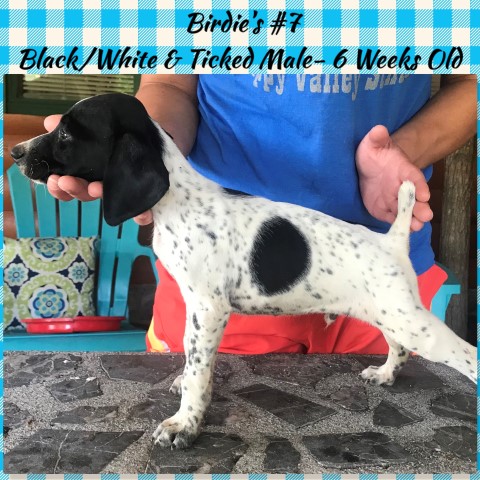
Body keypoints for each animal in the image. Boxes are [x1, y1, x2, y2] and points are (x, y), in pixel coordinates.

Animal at [11, 94, 476, 450]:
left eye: (67, 134)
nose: (15, 152)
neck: (179, 200)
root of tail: (391, 240)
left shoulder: (208, 307)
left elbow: (199, 369)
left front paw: (184, 424)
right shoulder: (197, 309)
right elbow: (190, 359)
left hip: (410, 320)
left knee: (465, 355)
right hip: (389, 313)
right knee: (399, 348)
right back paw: (384, 375)